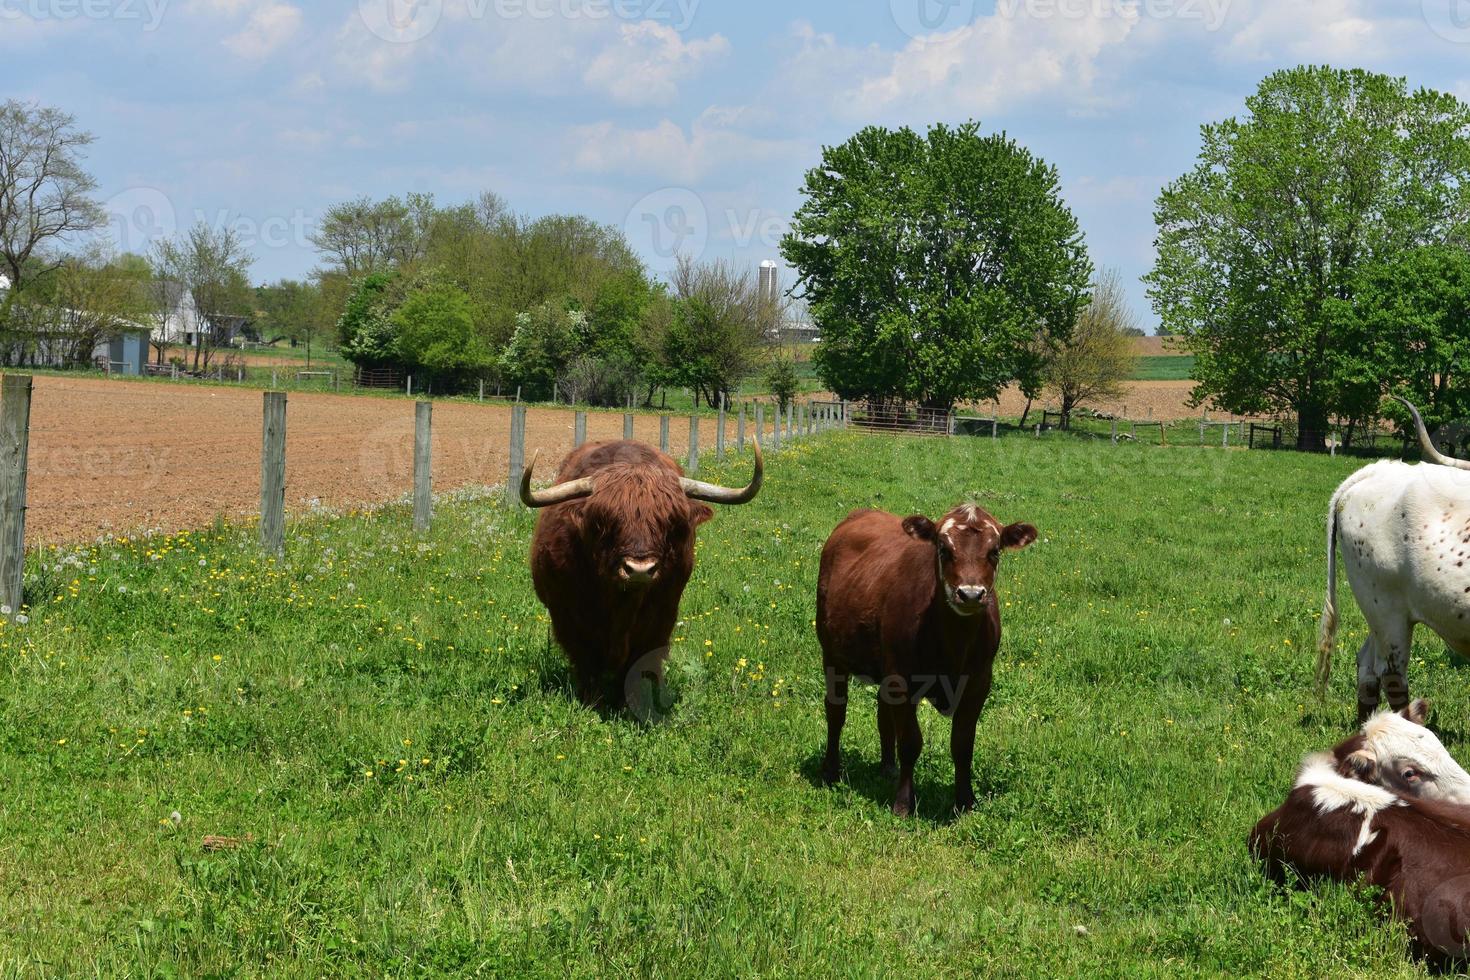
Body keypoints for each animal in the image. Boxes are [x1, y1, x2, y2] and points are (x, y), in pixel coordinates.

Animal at [523, 440, 764, 708]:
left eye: (669, 522)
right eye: (605, 521)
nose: (639, 569)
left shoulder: (661, 617)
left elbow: (637, 661)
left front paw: (626, 703)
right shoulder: (567, 616)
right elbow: (586, 661)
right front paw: (591, 702)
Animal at [823, 502, 1040, 816]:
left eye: (994, 551)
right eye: (943, 548)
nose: (970, 594)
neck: (953, 641)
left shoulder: (978, 683)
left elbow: (962, 745)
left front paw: (965, 801)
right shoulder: (902, 680)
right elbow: (910, 742)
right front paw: (903, 804)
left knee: (882, 712)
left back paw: (887, 767)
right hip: (831, 653)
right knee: (835, 711)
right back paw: (830, 771)